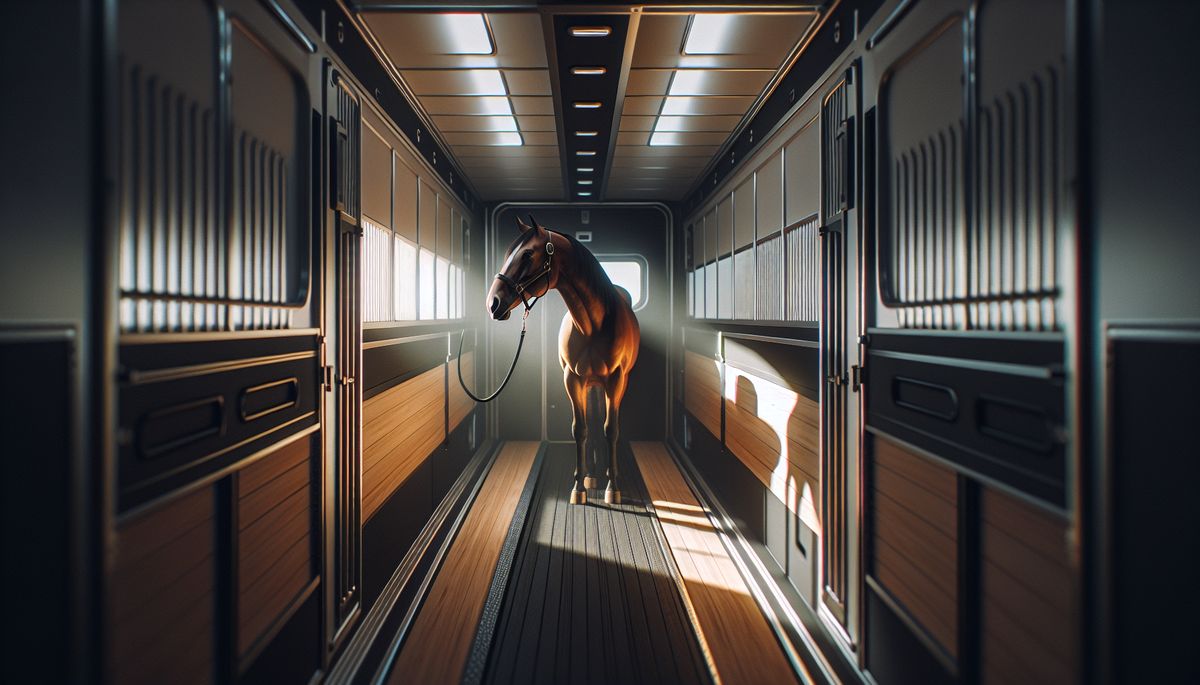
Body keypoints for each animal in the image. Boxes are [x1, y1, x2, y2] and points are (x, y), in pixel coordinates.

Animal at [485, 216, 640, 505]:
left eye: (527, 254)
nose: (493, 303)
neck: (593, 325)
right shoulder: (573, 379)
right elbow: (581, 429)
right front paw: (579, 487)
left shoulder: (616, 381)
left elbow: (611, 429)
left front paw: (613, 487)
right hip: (589, 384)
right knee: (592, 422)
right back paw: (591, 476)